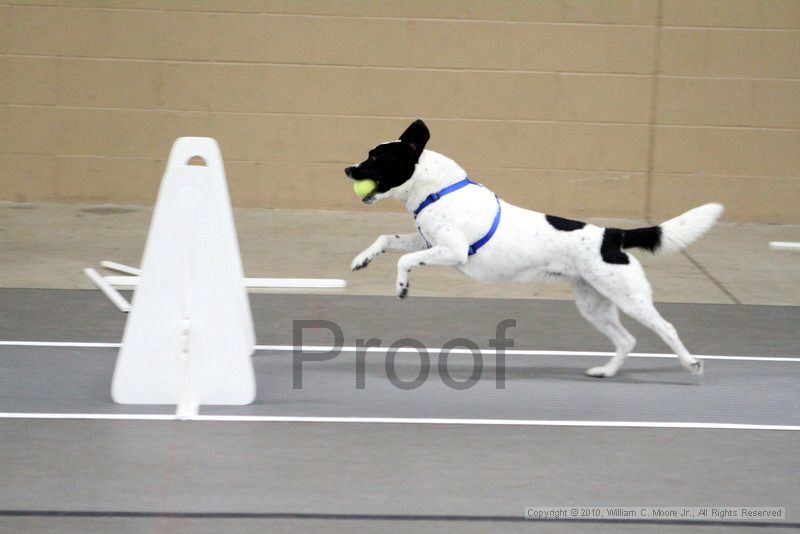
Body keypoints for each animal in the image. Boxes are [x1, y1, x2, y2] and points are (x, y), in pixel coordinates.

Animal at [346, 119, 720, 378]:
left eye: (376, 157)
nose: (348, 169)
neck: (437, 191)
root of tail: (612, 236)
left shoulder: (452, 251)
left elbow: (406, 260)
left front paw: (402, 286)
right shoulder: (427, 241)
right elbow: (387, 240)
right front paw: (361, 260)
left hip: (630, 298)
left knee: (666, 329)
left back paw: (691, 363)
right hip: (593, 304)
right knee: (626, 340)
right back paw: (607, 372)